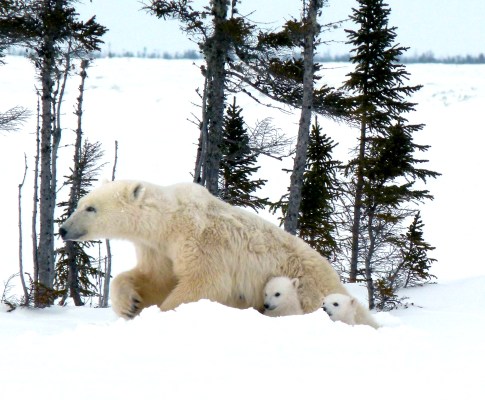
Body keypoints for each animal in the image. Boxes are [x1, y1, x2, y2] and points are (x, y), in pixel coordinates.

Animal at [57, 180, 374, 326]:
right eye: (81, 203)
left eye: (90, 208)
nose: (62, 229)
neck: (169, 221)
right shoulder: (158, 248)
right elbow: (155, 279)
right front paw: (129, 304)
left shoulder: (202, 240)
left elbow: (204, 282)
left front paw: (165, 312)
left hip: (309, 289)